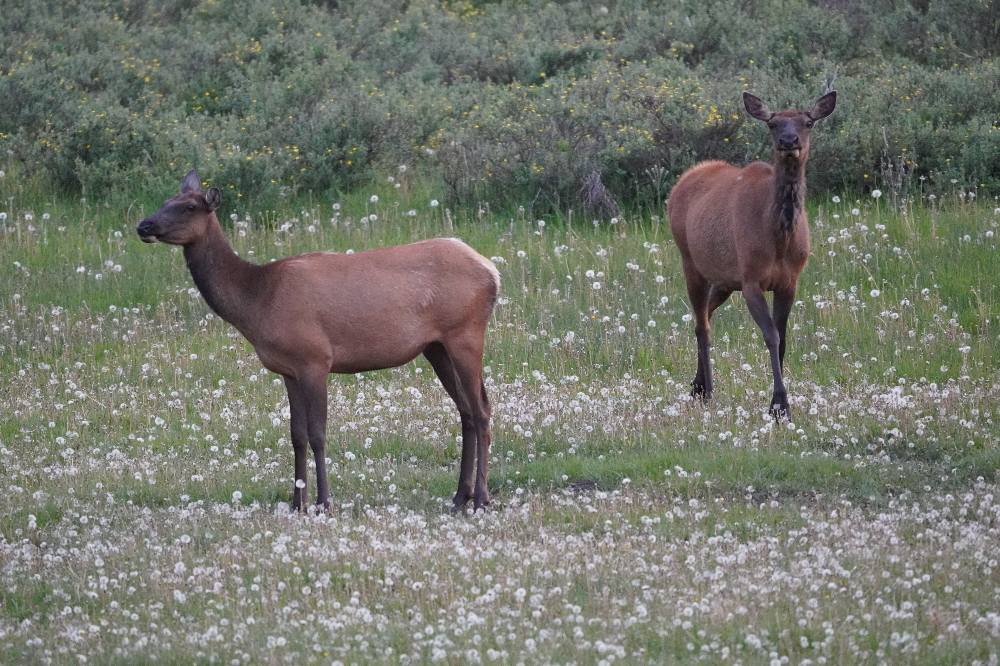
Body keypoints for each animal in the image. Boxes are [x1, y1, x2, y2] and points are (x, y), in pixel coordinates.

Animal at [137, 171, 500, 512]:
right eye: (166, 200)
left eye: (189, 207)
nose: (144, 225)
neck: (257, 302)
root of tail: (492, 271)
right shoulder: (287, 369)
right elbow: (296, 435)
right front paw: (298, 503)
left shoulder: (315, 359)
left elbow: (318, 434)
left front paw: (324, 502)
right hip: (436, 347)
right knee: (465, 410)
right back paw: (459, 497)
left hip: (465, 333)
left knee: (481, 409)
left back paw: (481, 498)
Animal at [668, 90, 837, 419]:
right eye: (772, 124)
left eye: (808, 122)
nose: (788, 140)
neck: (778, 239)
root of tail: (682, 180)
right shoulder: (751, 280)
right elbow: (771, 335)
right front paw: (779, 405)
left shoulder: (789, 282)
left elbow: (783, 338)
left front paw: (779, 402)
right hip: (690, 263)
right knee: (702, 325)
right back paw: (708, 390)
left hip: (723, 280)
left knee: (705, 315)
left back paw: (696, 385)